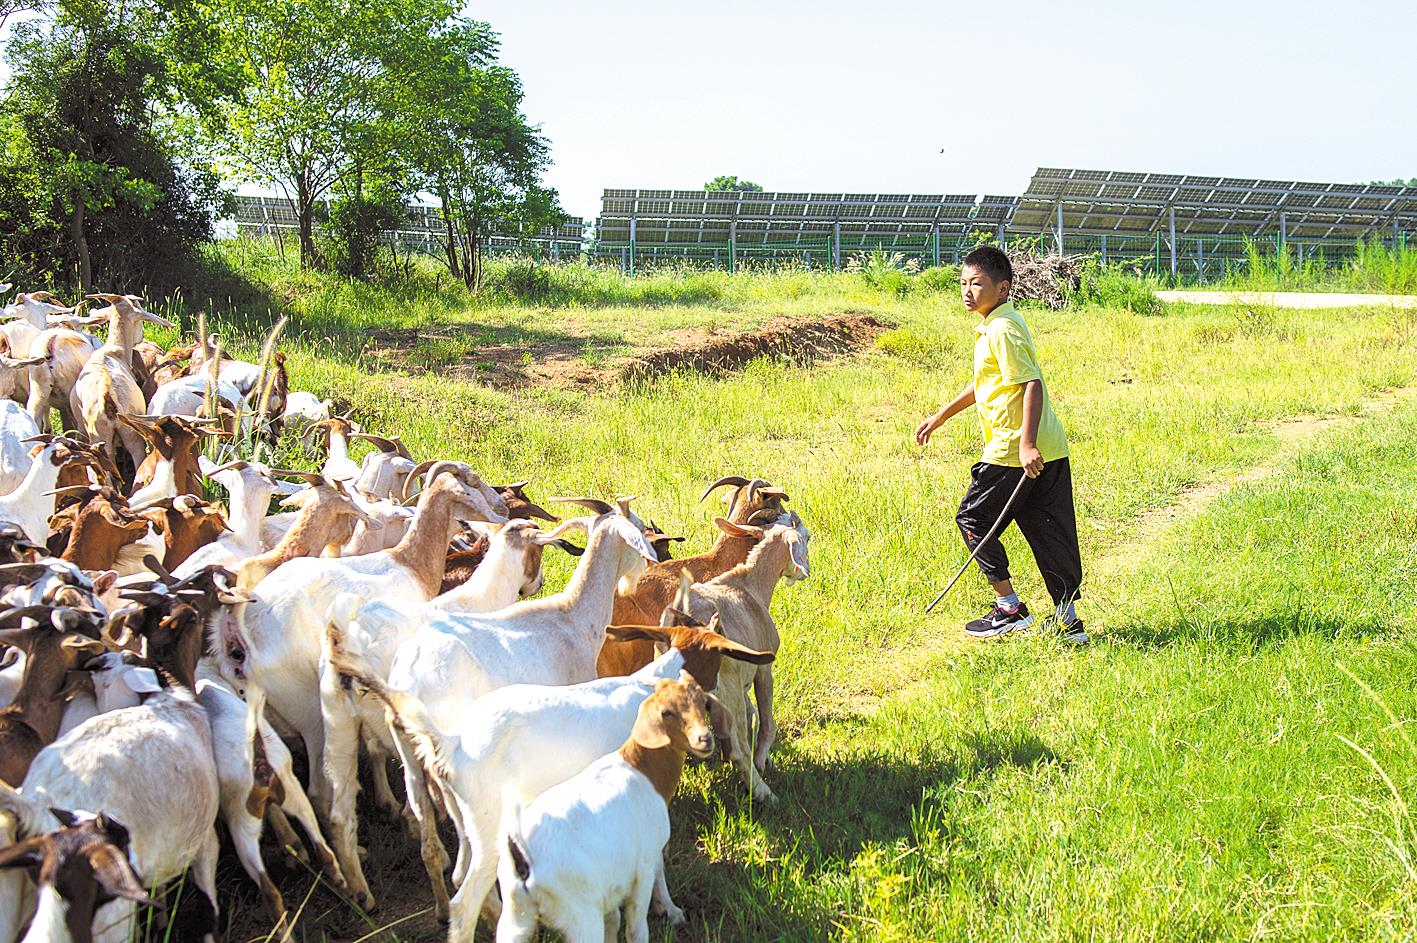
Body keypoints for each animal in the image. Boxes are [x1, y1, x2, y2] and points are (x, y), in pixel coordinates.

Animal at [498, 672, 719, 941]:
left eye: (703, 703)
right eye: (666, 712)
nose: (704, 739)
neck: (643, 770)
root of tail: (523, 856)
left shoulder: (612, 880)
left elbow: (613, 920)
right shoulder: (643, 867)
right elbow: (637, 926)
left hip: (515, 915)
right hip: (580, 912)